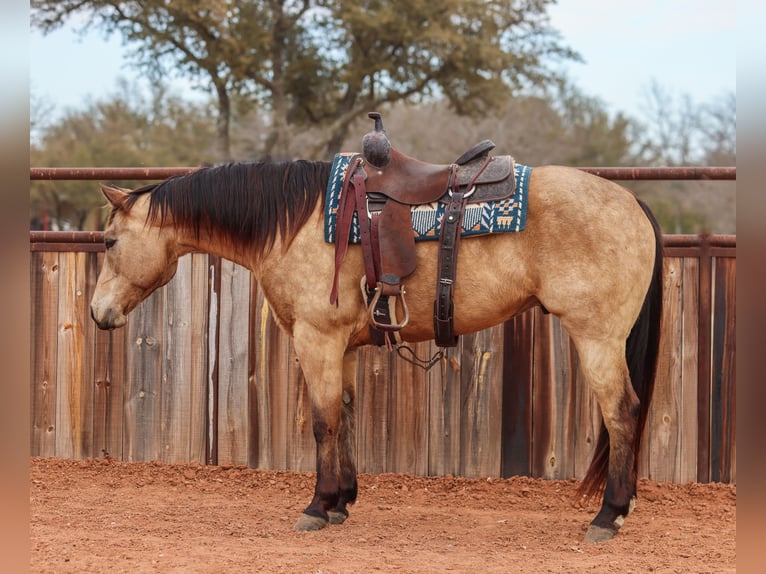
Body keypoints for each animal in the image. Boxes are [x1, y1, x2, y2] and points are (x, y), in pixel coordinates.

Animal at [90, 156, 663, 543]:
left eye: (111, 242)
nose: (98, 313)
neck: (297, 223)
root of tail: (631, 203)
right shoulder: (341, 346)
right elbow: (344, 414)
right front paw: (342, 501)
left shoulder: (317, 339)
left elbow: (323, 422)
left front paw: (317, 507)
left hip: (598, 339)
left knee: (622, 414)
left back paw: (608, 515)